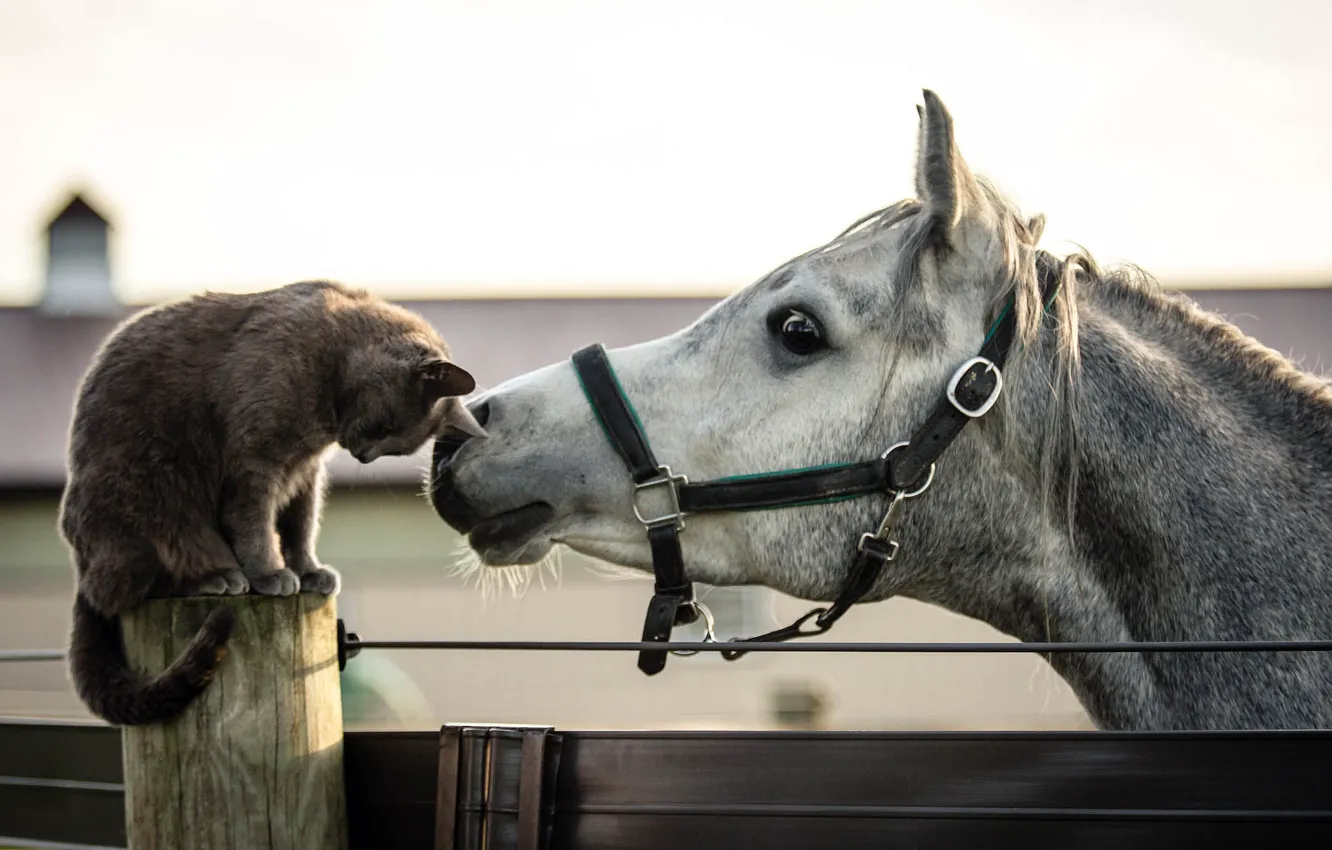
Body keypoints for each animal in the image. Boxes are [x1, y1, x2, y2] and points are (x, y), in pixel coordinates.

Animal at [58, 279, 484, 724]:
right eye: (387, 428)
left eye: (395, 447)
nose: (364, 456)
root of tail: (80, 565)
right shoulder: (255, 463)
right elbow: (256, 525)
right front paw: (270, 574)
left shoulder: (305, 474)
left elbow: (300, 526)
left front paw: (309, 571)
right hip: (152, 496)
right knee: (123, 588)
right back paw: (217, 577)